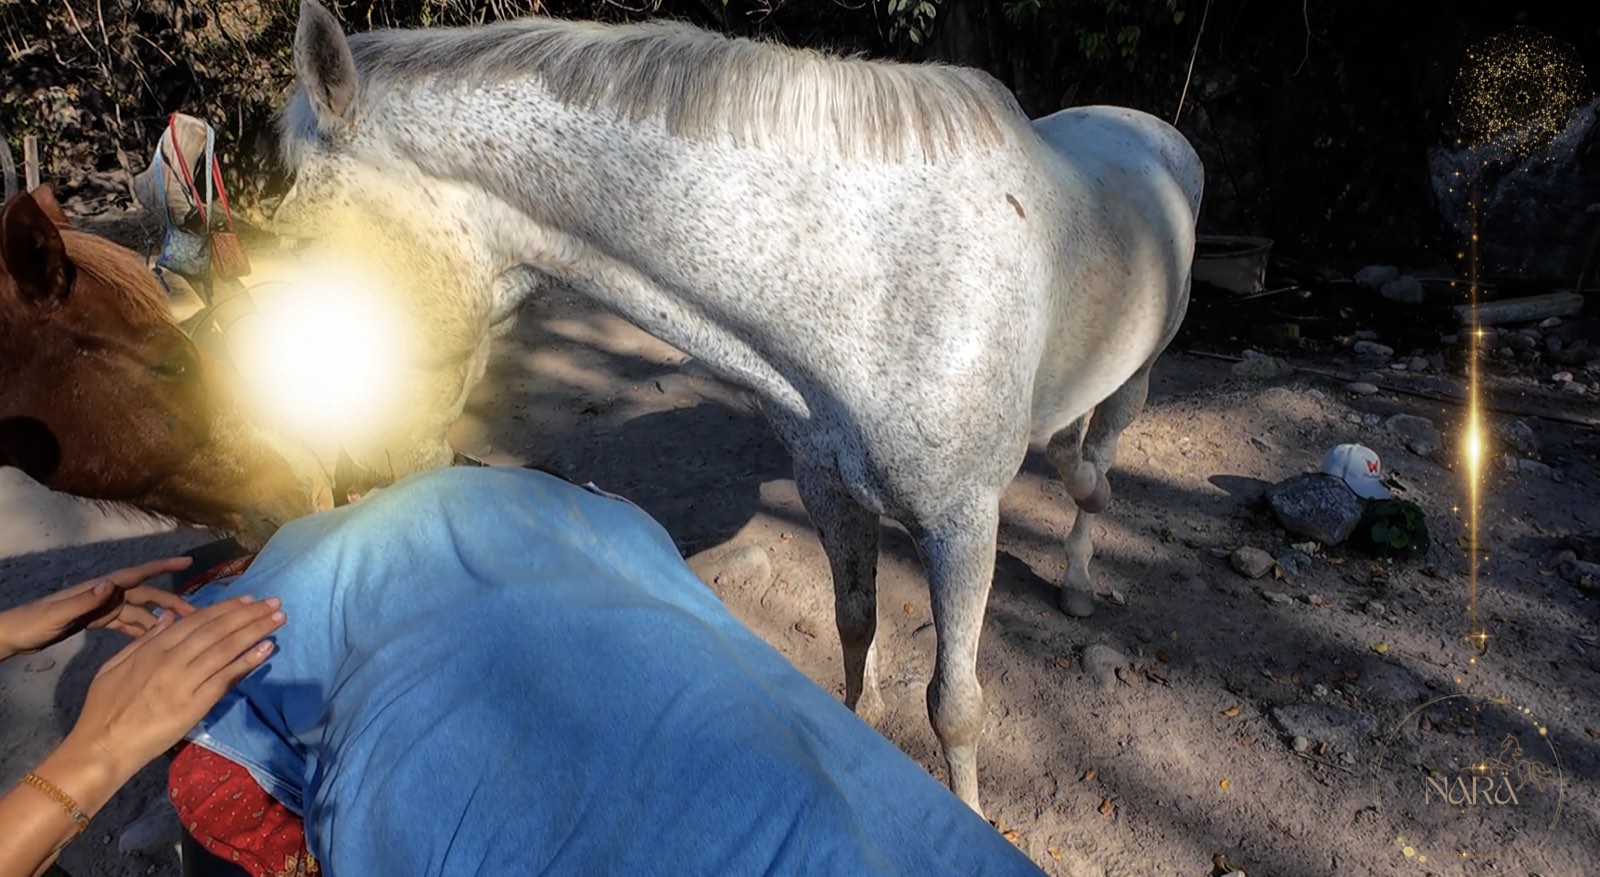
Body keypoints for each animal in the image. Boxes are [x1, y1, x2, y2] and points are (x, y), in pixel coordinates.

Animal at [272, 0, 1204, 817]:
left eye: (305, 251)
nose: (345, 479)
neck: (880, 277)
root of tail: (1159, 133)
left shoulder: (963, 523)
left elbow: (955, 703)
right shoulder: (829, 489)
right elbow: (855, 625)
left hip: (1139, 377)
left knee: (1098, 463)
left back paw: (1079, 577)